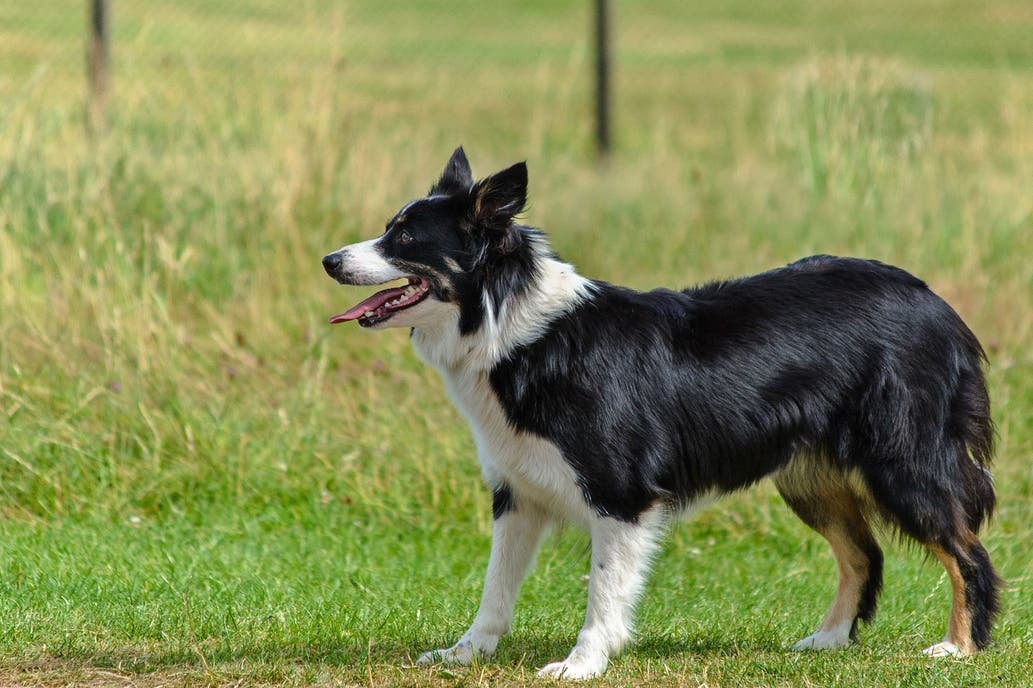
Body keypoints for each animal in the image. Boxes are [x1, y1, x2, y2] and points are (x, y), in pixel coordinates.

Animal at [322, 147, 999, 677]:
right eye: (389, 229)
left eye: (405, 240)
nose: (330, 260)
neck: (510, 326)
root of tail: (935, 301)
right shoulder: (517, 492)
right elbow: (495, 589)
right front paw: (466, 654)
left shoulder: (620, 495)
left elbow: (603, 592)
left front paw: (580, 664)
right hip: (808, 476)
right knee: (864, 555)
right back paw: (828, 641)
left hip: (903, 463)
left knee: (968, 553)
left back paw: (958, 648)